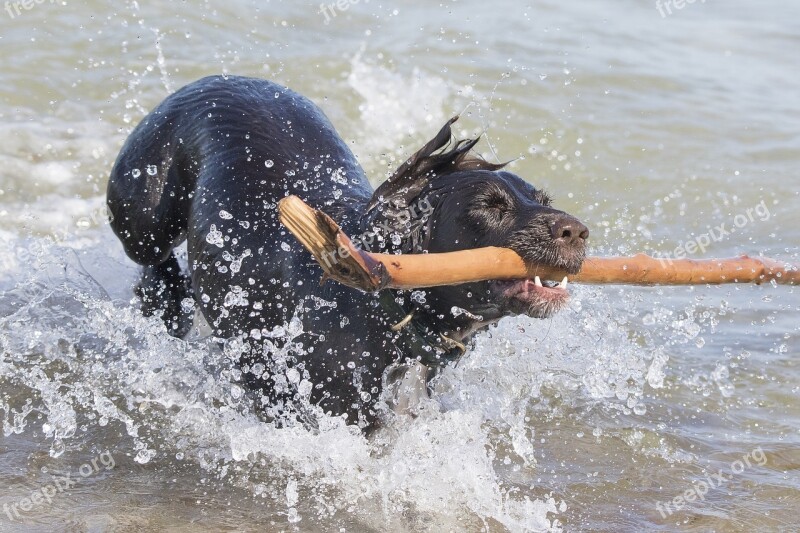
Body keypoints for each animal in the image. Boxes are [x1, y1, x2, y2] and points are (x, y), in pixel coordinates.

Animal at [106, 75, 588, 428]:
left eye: (543, 199)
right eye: (488, 206)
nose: (578, 232)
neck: (384, 309)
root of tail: (216, 77)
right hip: (142, 212)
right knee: (149, 257)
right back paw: (165, 296)